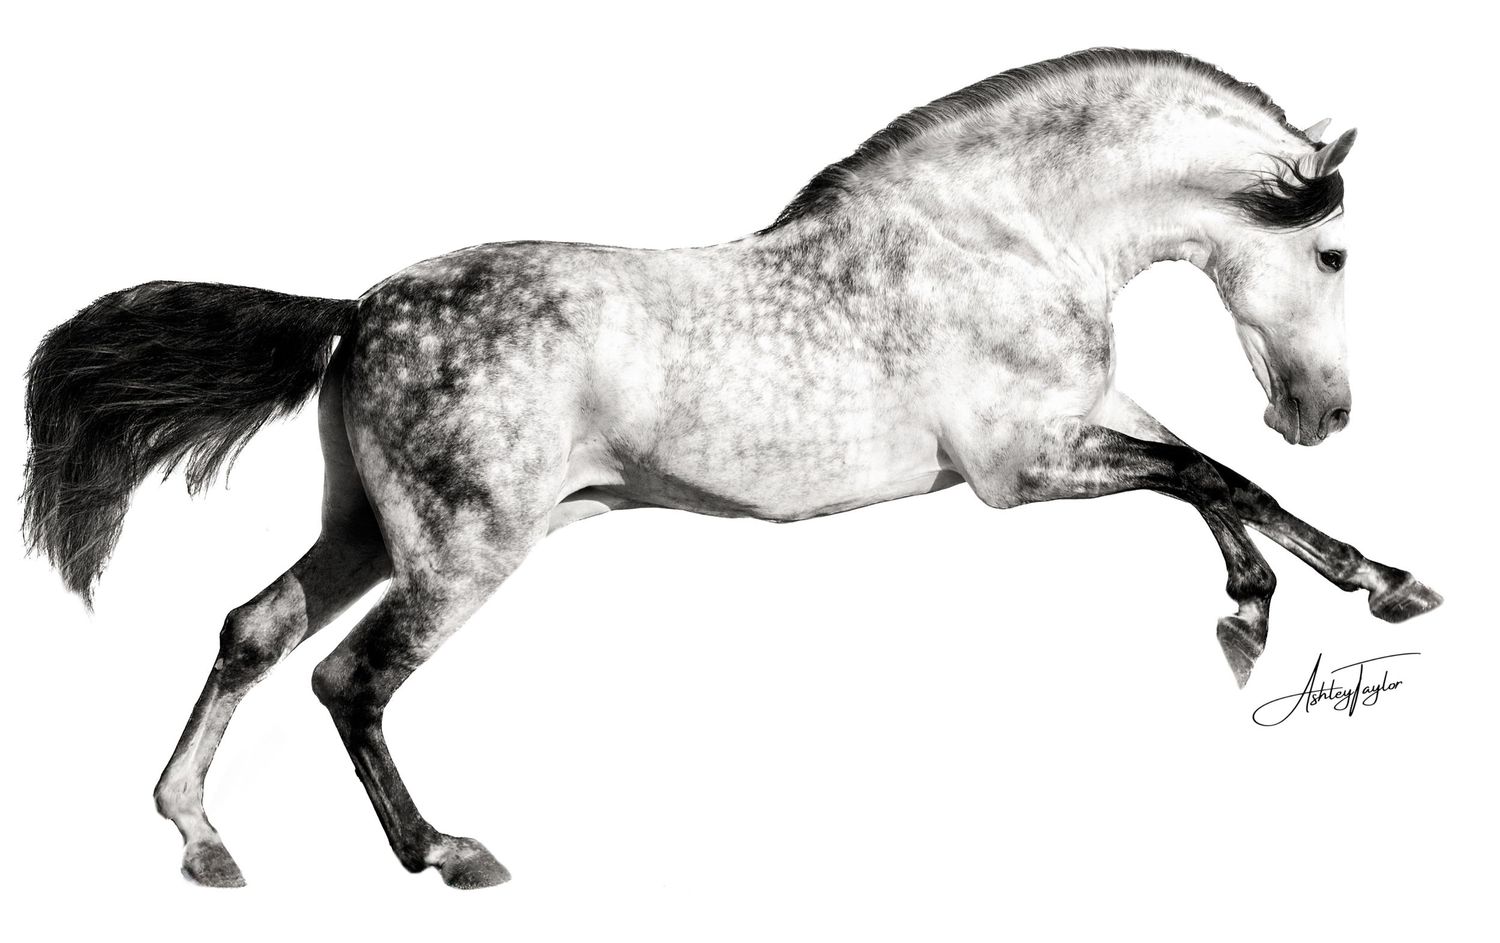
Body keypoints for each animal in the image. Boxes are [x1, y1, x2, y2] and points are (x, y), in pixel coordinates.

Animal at [22, 48, 1442, 889]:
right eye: (1334, 256)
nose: (1326, 413)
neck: (1004, 231)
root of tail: (360, 308)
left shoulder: (1084, 414)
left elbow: (1213, 478)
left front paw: (1327, 594)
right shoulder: (1022, 465)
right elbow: (1212, 480)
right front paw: (1295, 608)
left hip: (367, 529)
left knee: (253, 630)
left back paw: (200, 836)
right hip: (463, 550)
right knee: (346, 677)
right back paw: (446, 850)